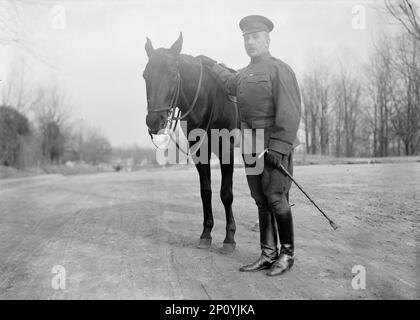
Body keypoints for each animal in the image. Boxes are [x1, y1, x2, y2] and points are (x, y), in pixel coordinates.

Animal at [144, 32, 240, 252]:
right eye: (145, 75)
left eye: (172, 74)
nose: (154, 121)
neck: (210, 99)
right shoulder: (199, 151)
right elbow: (206, 191)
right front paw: (206, 233)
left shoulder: (226, 149)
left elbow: (226, 193)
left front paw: (229, 237)